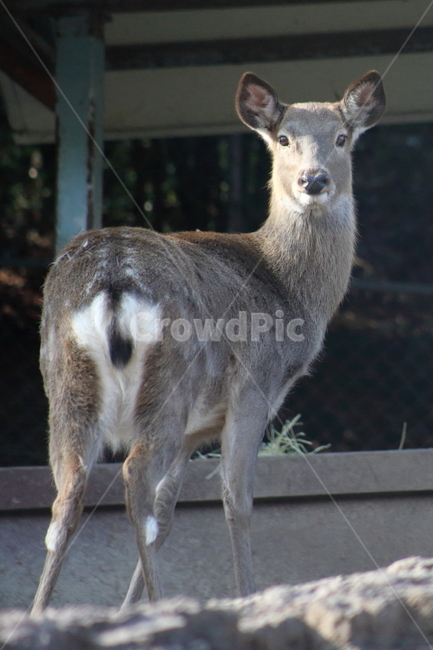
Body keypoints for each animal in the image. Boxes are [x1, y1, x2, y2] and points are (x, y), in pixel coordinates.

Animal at [31, 69, 385, 615]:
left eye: (343, 138)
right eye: (284, 139)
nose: (314, 180)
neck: (292, 290)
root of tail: (112, 281)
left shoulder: (198, 429)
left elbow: (168, 513)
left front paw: (127, 609)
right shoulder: (255, 386)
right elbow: (236, 500)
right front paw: (247, 596)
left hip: (65, 381)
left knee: (69, 494)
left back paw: (39, 613)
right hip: (169, 381)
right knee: (134, 476)